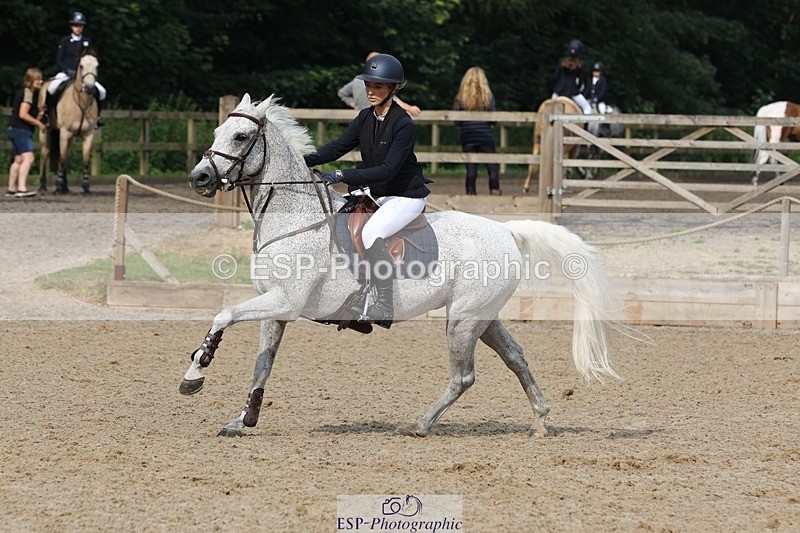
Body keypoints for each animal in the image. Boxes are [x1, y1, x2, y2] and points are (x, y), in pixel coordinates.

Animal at [38, 53, 100, 194]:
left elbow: (85, 161)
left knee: (65, 156)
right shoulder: (65, 132)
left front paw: (86, 187)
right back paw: (43, 186)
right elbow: (61, 160)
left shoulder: (88, 134)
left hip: (69, 137)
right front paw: (58, 187)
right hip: (46, 130)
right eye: (81, 66)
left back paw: (65, 187)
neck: (82, 103)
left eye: (97, 66)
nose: (89, 88)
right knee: (45, 154)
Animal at [180, 93, 625, 439]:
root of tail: (505, 230)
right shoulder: (276, 308)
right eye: (217, 133)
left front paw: (195, 374)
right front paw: (243, 419)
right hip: (481, 315)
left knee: (464, 376)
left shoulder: (285, 302)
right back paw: (540, 421)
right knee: (516, 356)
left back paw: (420, 425)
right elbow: (262, 365)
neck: (295, 217)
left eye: (241, 136)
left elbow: (223, 315)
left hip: (463, 319)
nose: (198, 177)